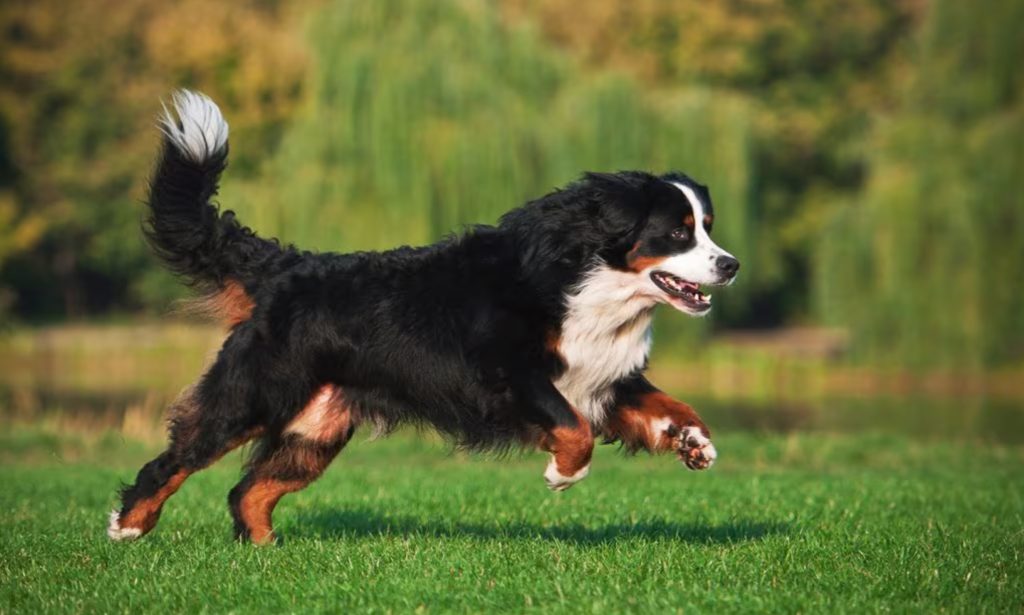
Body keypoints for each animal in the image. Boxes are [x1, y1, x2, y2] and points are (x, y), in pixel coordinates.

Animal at [108, 90, 741, 540]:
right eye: (678, 232)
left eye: (707, 226)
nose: (731, 264)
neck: (591, 284)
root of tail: (286, 267)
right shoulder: (507, 374)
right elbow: (572, 428)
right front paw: (563, 474)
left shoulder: (603, 375)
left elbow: (668, 405)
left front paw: (694, 442)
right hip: (253, 397)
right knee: (177, 461)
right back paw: (128, 526)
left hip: (316, 430)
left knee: (249, 493)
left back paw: (267, 555)